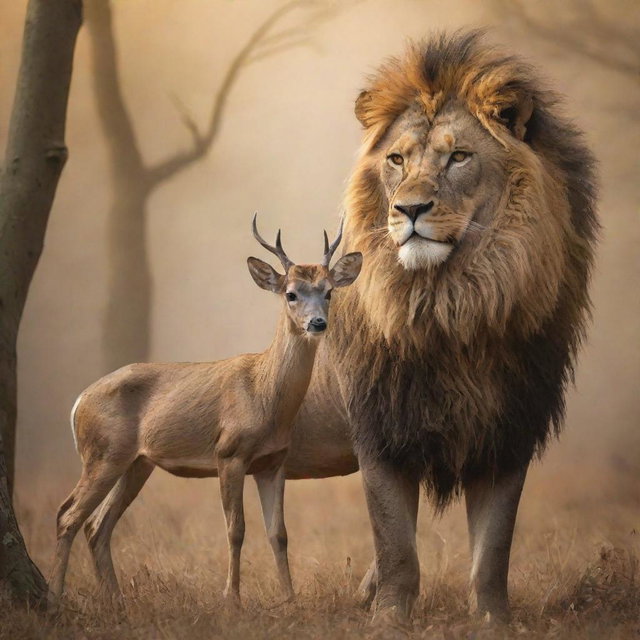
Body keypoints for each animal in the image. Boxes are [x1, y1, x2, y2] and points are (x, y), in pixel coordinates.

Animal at [47, 215, 362, 607]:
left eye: (329, 291)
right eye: (291, 293)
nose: (317, 323)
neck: (263, 394)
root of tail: (78, 403)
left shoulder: (273, 462)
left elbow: (279, 533)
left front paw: (290, 600)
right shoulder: (228, 453)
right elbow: (236, 529)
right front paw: (232, 599)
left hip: (136, 463)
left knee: (97, 525)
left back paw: (116, 600)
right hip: (102, 454)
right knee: (68, 514)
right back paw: (54, 599)